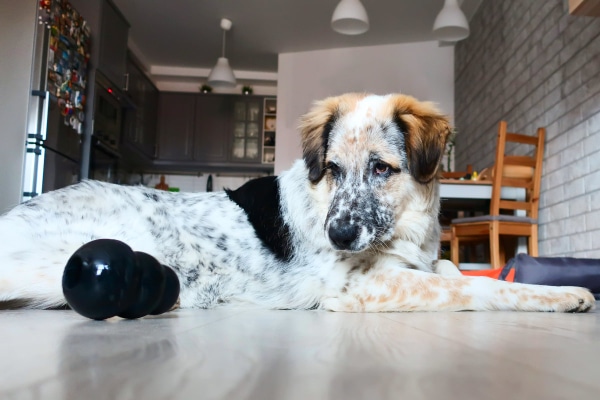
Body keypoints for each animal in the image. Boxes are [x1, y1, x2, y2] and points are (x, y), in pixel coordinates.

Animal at [0, 94, 596, 312]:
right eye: (331, 169)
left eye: (382, 168)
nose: (337, 237)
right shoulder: (365, 287)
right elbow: (479, 290)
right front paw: (562, 294)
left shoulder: (423, 261)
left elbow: (459, 270)